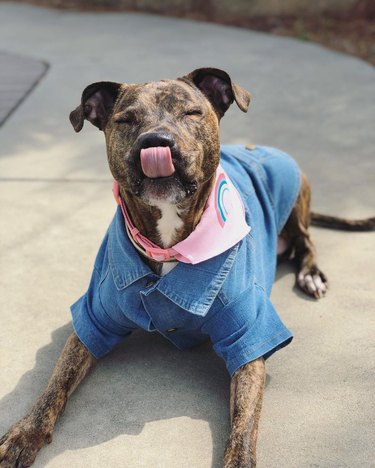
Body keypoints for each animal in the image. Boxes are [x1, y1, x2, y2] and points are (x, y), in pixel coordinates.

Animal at [0, 66, 375, 468]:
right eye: (126, 120)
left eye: (192, 113)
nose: (155, 141)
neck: (169, 247)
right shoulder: (93, 317)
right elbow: (55, 382)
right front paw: (26, 431)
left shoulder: (249, 335)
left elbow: (244, 421)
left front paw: (239, 459)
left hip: (296, 198)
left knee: (307, 241)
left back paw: (311, 275)